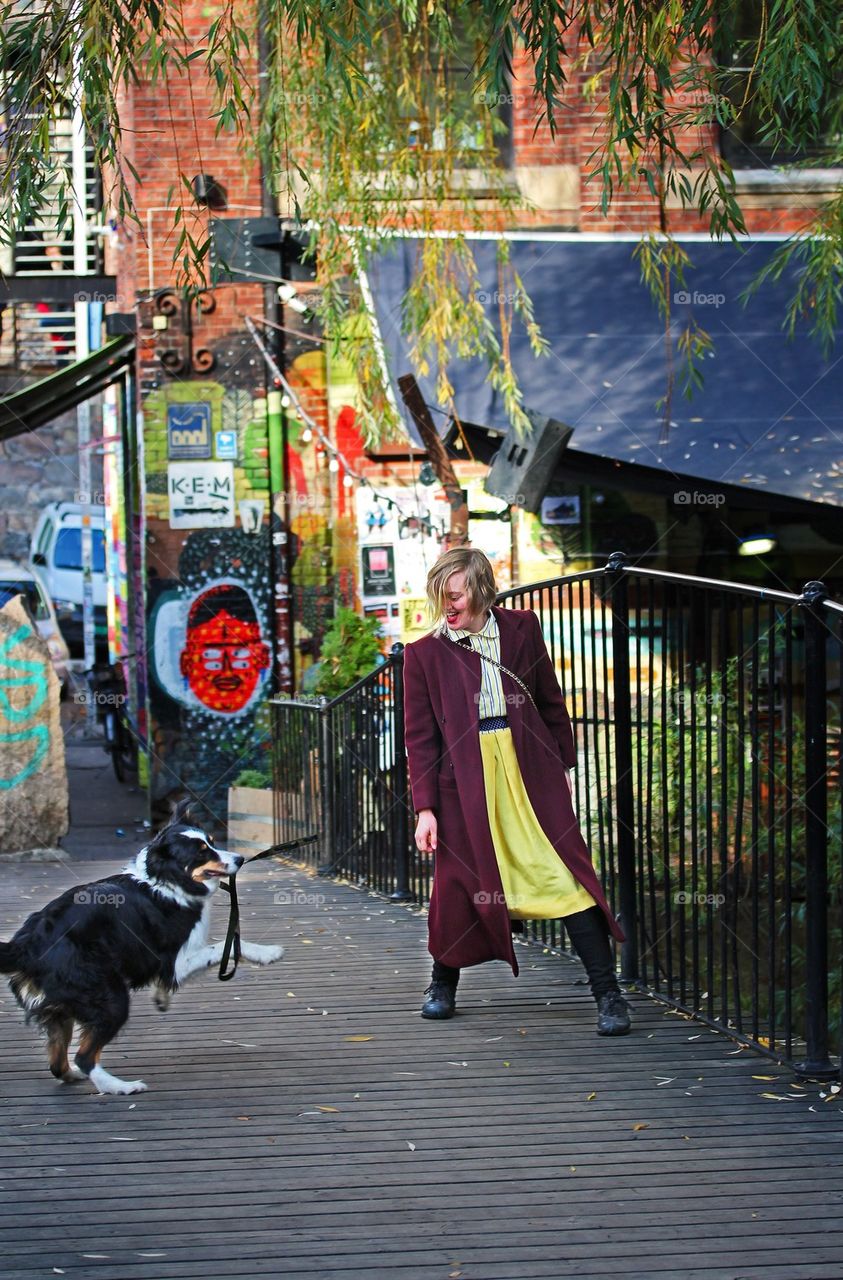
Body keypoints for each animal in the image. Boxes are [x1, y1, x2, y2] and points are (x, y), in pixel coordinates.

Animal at [0, 798, 283, 1090]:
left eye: (212, 842)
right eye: (202, 852)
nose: (240, 859)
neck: (165, 881)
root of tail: (28, 944)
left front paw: (162, 996)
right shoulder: (177, 962)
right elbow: (226, 946)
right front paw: (267, 952)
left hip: (63, 1008)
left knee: (57, 1063)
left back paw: (76, 1076)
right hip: (110, 998)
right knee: (85, 1056)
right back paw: (122, 1087)